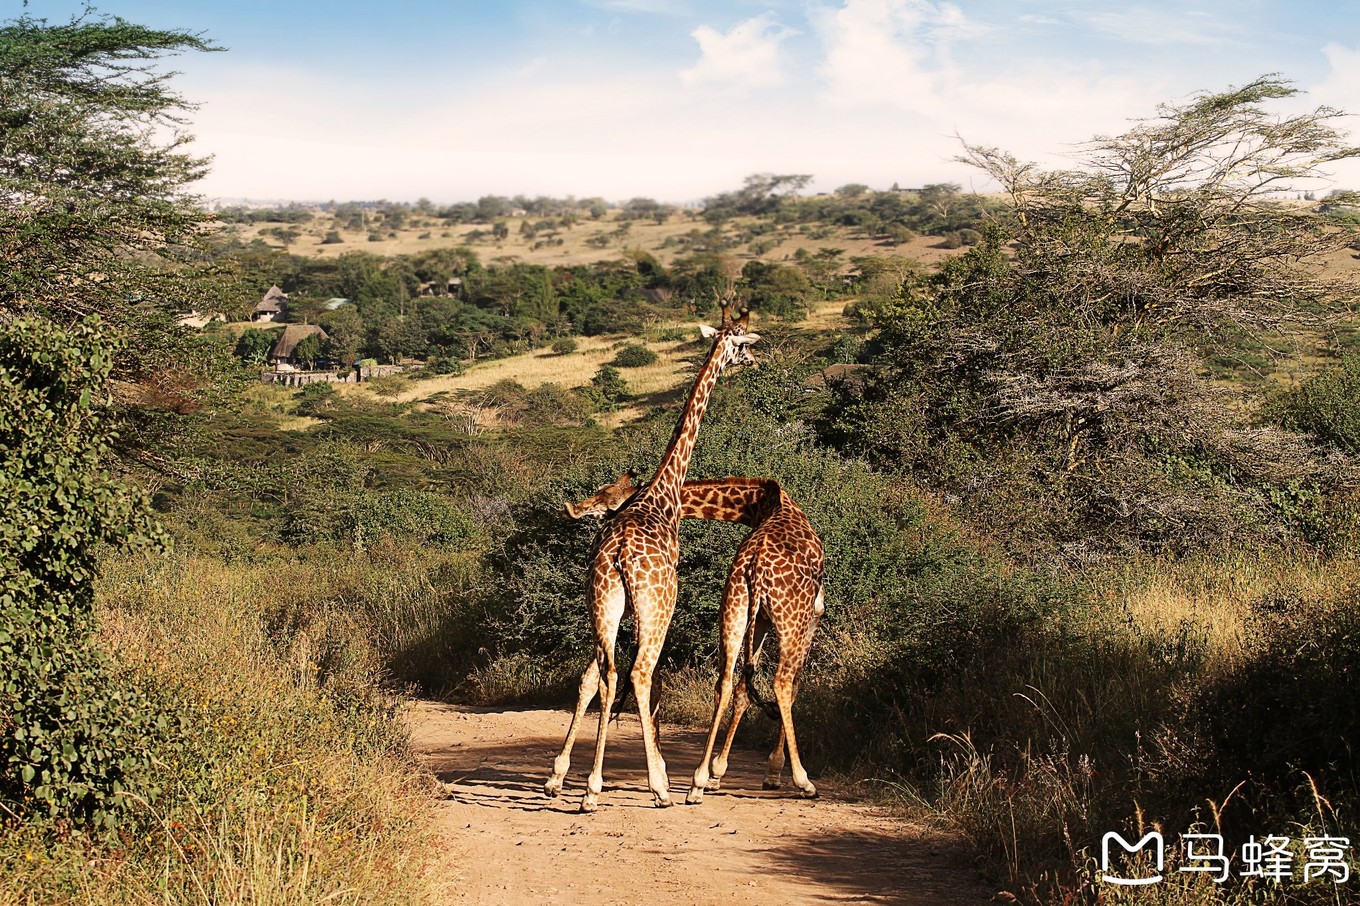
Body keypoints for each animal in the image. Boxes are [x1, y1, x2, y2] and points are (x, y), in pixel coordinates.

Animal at [541, 303, 761, 810]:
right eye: (742, 342)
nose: (757, 360)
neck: (664, 490)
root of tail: (621, 555)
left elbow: (598, 678)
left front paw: (565, 776)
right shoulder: (664, 607)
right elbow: (655, 680)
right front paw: (658, 774)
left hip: (603, 604)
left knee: (603, 673)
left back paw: (583, 786)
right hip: (653, 606)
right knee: (638, 674)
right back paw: (653, 789)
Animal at [557, 467, 821, 799]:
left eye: (610, 498)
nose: (575, 509)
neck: (765, 505)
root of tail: (757, 565)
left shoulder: (758, 619)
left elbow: (742, 688)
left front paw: (715, 773)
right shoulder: (813, 614)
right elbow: (793, 685)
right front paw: (771, 772)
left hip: (732, 609)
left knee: (719, 681)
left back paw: (695, 782)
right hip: (788, 617)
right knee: (781, 682)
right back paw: (803, 781)